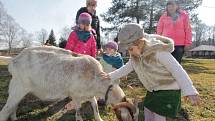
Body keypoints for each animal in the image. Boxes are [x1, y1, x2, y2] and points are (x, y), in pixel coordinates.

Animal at [0, 46, 138, 121]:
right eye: (132, 115)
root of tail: (14, 59)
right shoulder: (75, 95)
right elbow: (78, 111)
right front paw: (79, 118)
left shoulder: (89, 94)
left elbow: (95, 107)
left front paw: (99, 118)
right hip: (18, 87)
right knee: (5, 111)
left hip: (17, 89)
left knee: (13, 107)